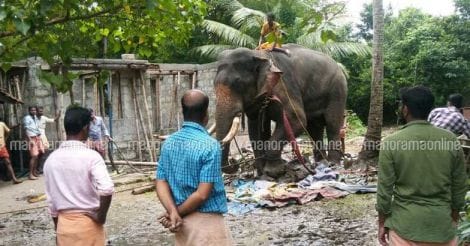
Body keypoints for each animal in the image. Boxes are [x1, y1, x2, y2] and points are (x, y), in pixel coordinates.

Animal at [215, 44, 346, 178]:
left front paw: (274, 171)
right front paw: (262, 174)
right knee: (314, 128)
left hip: (337, 90)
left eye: (238, 83)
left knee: (332, 123)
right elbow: (256, 130)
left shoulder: (283, 86)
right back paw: (321, 163)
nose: (233, 162)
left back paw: (333, 163)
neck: (259, 55)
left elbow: (296, 121)